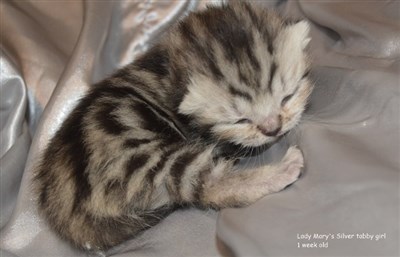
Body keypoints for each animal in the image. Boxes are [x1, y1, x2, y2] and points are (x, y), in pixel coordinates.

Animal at [33, 1, 312, 251]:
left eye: (287, 97)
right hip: (148, 158)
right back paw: (285, 168)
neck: (169, 68)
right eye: (239, 120)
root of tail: (68, 214)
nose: (273, 128)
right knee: (208, 185)